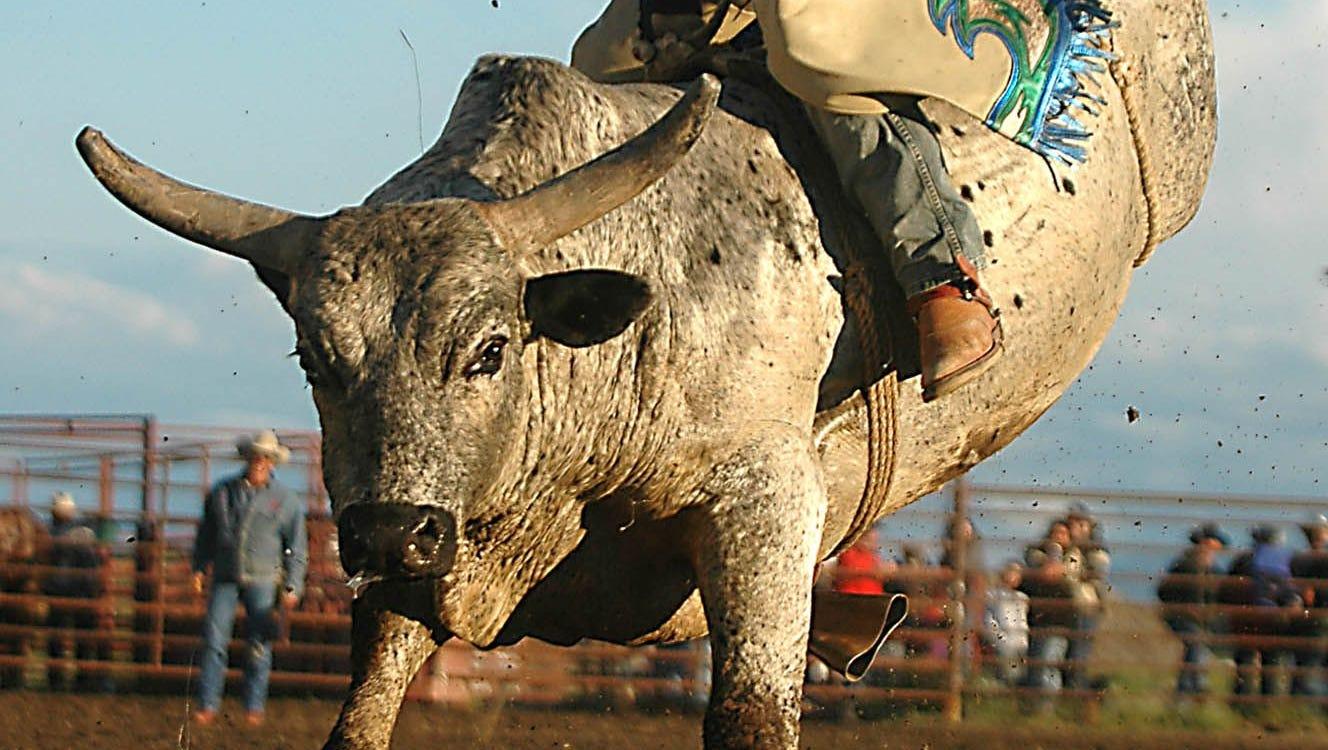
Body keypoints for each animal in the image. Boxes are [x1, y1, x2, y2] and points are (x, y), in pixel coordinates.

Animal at [74, 1, 1216, 745]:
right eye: (316, 356)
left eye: (489, 348)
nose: (391, 534)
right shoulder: (432, 547)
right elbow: (364, 709)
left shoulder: (765, 504)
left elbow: (750, 713)